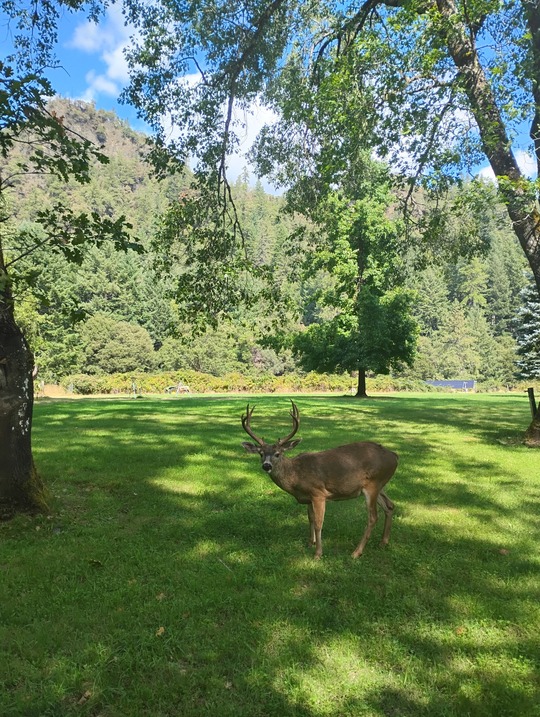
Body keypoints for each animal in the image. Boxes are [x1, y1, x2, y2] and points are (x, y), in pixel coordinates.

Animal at [241, 401, 398, 559]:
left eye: (278, 454)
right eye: (261, 454)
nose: (266, 465)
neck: (295, 476)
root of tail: (394, 456)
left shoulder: (318, 493)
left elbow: (318, 523)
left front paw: (318, 554)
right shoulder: (308, 498)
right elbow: (310, 518)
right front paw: (311, 543)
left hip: (373, 484)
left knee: (373, 517)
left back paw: (356, 552)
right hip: (379, 485)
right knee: (390, 505)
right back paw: (383, 542)